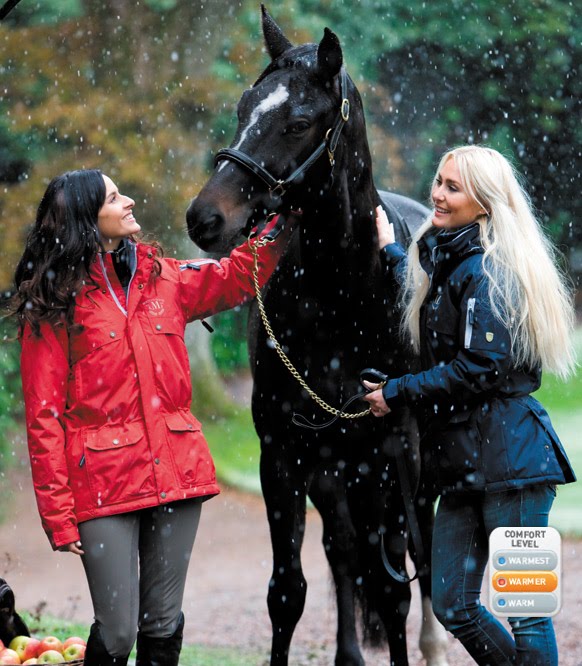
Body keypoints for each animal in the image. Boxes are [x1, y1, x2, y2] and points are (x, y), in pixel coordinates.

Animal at [186, 7, 449, 666]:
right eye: (243, 108)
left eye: (299, 122)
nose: (205, 217)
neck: (342, 299)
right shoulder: (282, 454)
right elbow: (289, 590)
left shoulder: (393, 452)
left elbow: (394, 589)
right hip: (335, 472)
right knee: (344, 551)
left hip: (410, 471)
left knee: (422, 558)